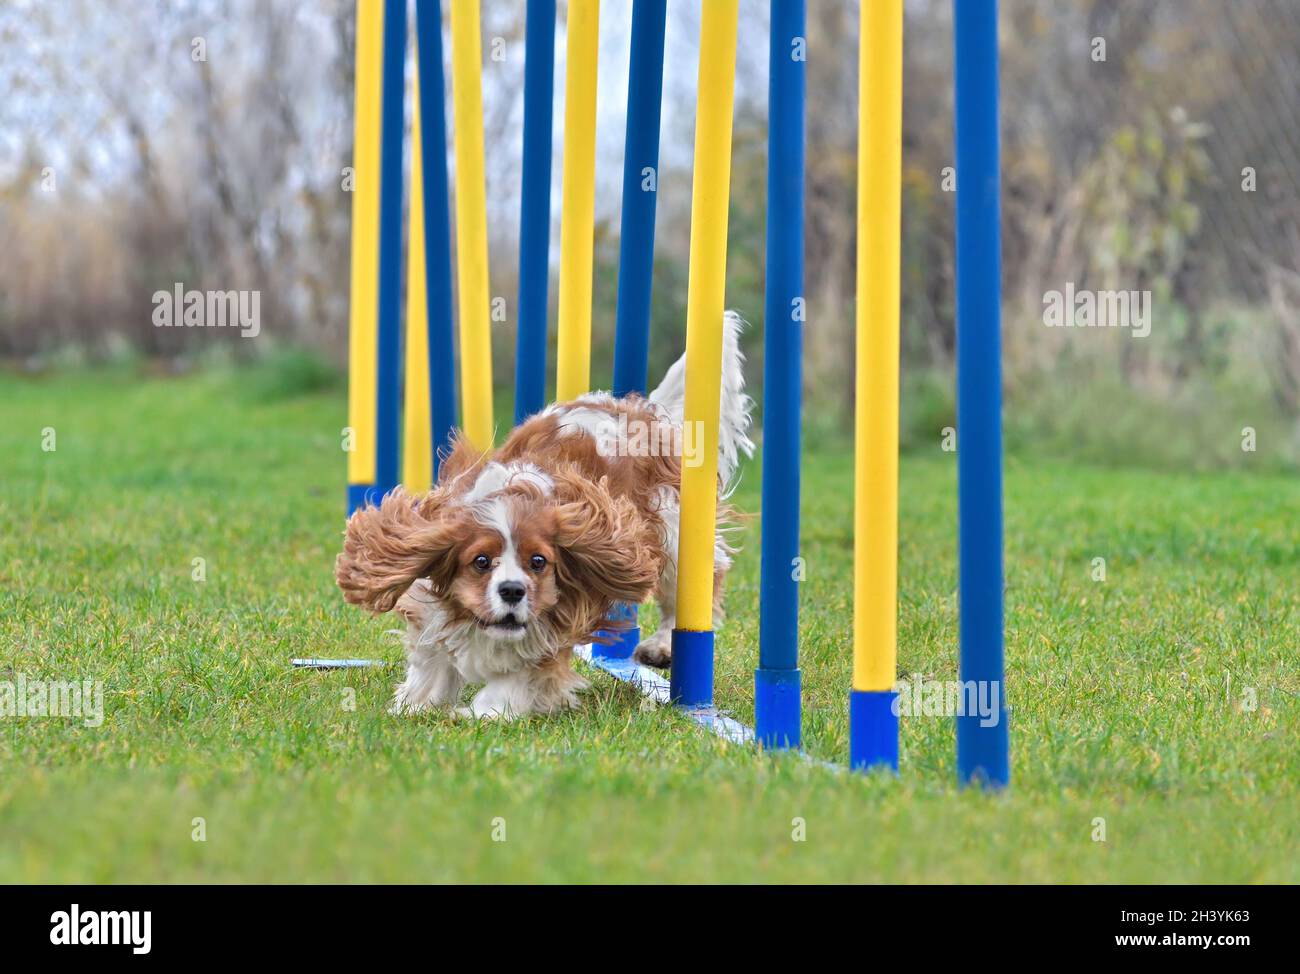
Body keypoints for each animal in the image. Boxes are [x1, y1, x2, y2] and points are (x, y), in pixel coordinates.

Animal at [338, 312, 754, 712]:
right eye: (481, 561)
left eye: (538, 562)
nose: (512, 590)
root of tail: (639, 411)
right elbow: (433, 659)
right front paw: (417, 705)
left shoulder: (560, 619)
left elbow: (520, 680)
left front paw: (481, 712)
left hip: (668, 529)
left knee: (695, 581)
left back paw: (663, 646)